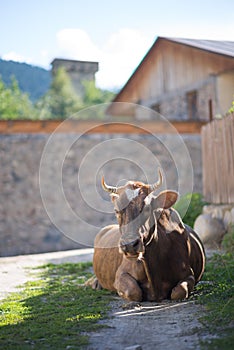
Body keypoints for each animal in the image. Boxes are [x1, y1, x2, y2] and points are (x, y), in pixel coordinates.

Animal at [92, 169, 206, 300]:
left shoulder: (189, 274)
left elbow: (179, 291)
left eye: (147, 208)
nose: (129, 245)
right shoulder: (120, 274)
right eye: (116, 210)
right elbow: (133, 291)